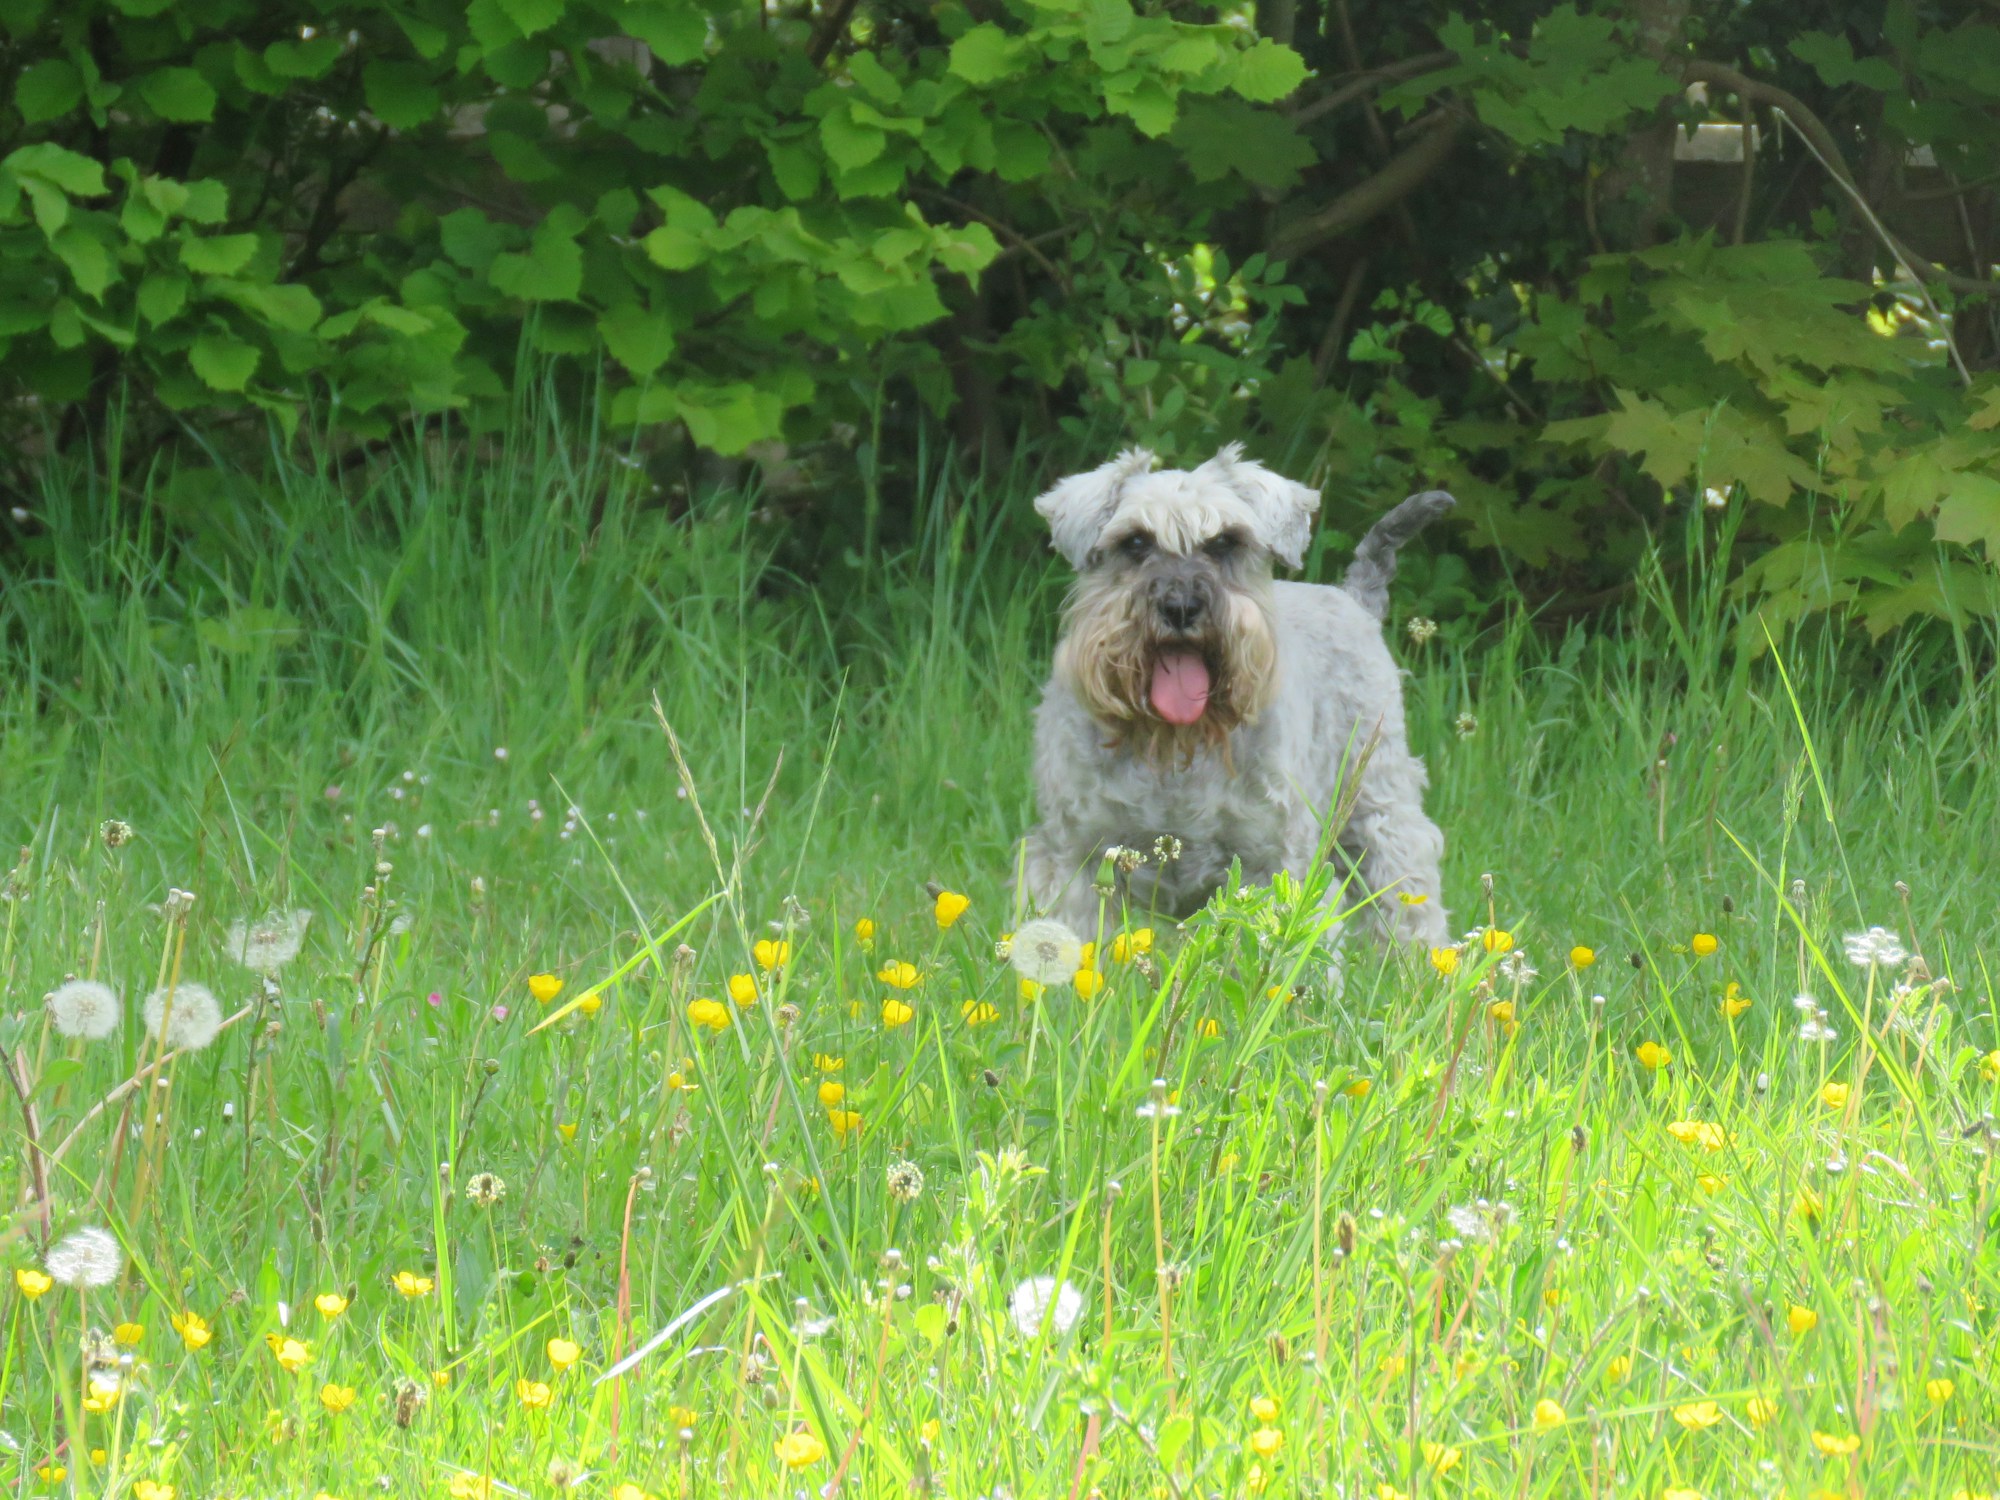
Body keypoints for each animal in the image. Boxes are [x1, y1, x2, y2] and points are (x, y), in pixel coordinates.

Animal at [1032, 444, 1456, 952]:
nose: (1180, 606)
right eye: (1134, 542)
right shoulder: (1074, 858)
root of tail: (1354, 599)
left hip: (1379, 811)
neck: (1175, 747)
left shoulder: (1277, 863)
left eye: (1225, 541)